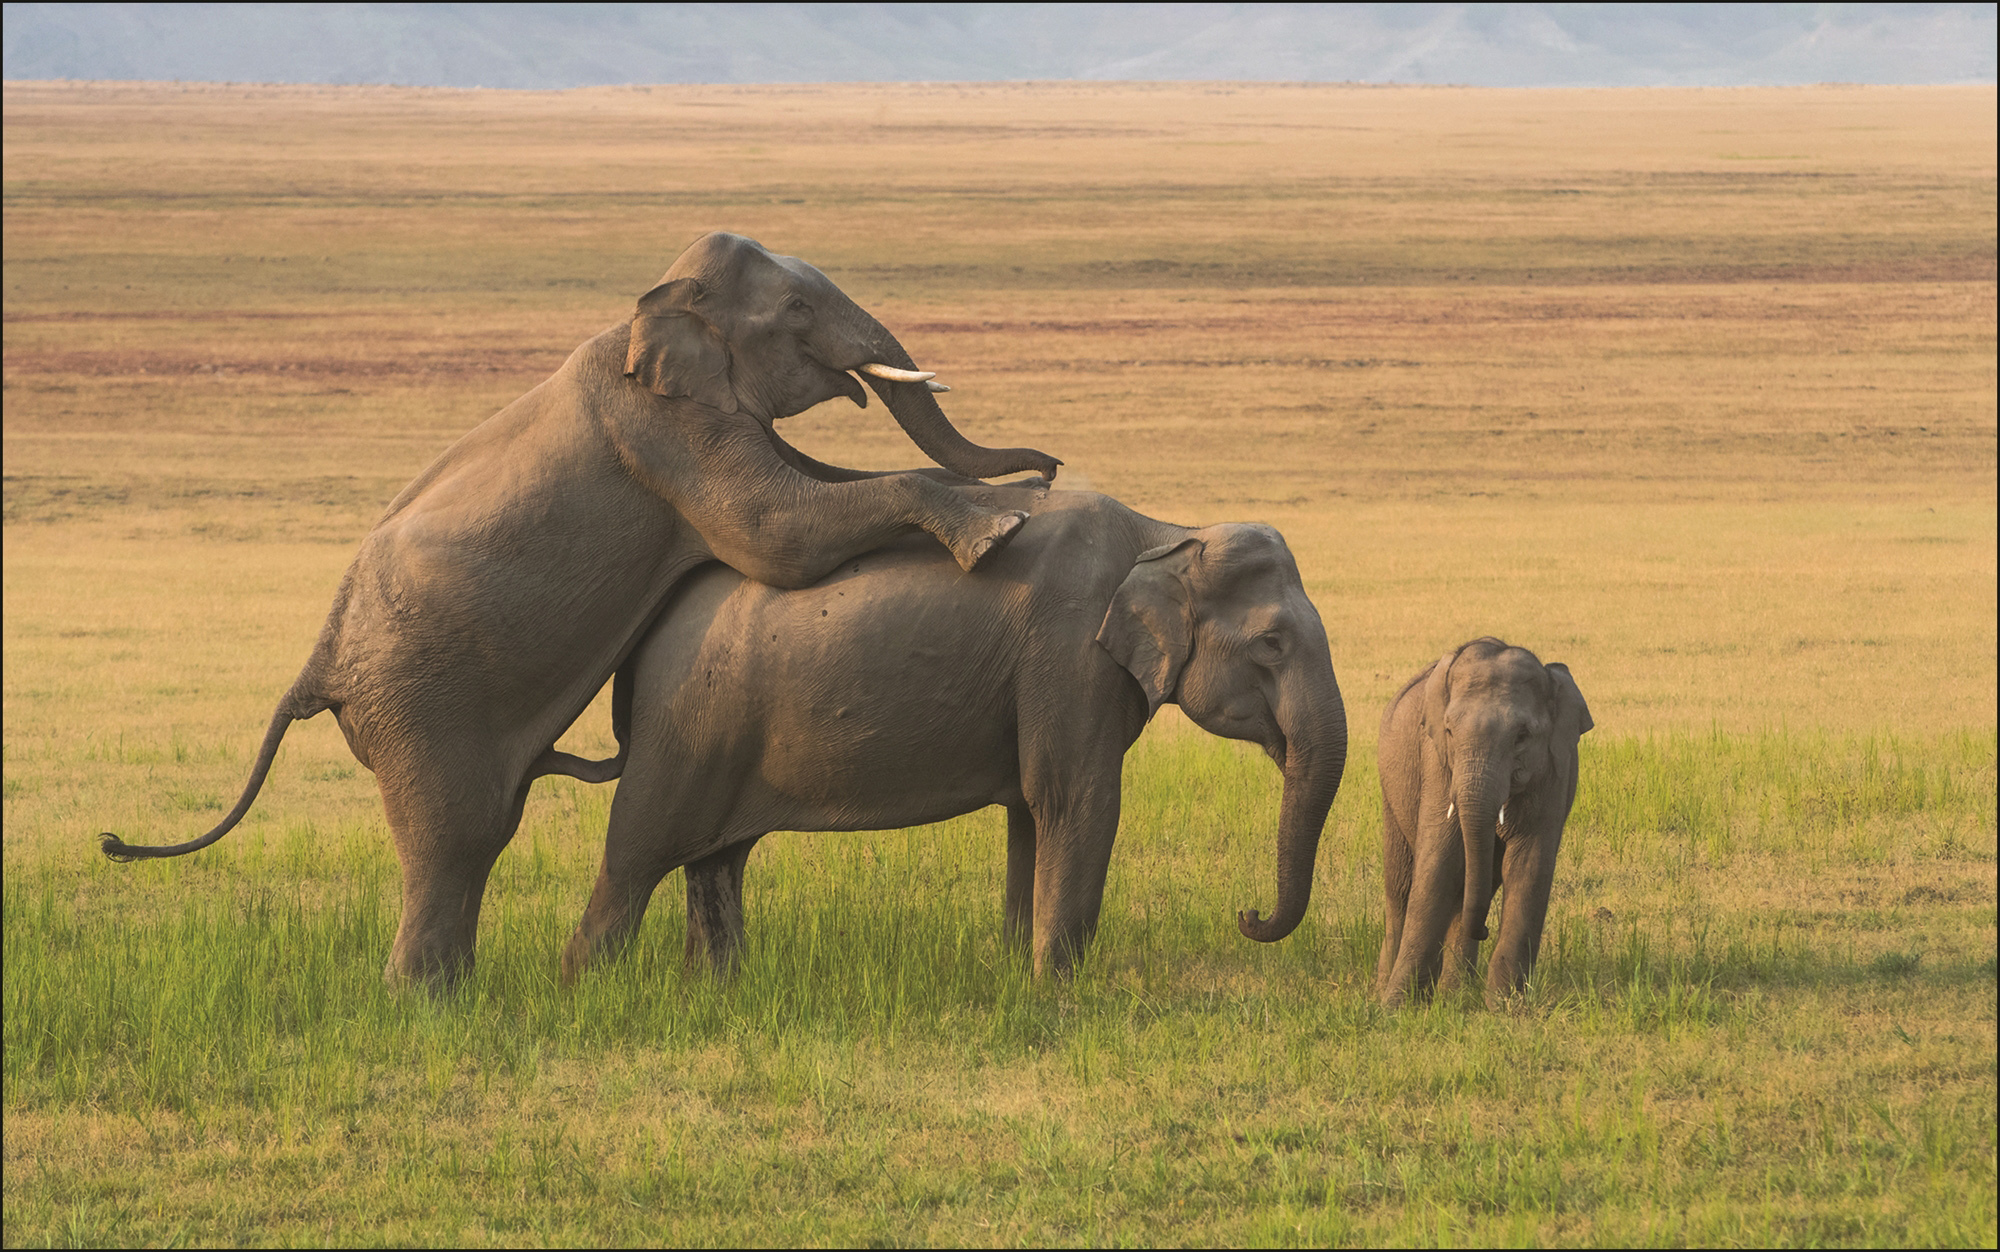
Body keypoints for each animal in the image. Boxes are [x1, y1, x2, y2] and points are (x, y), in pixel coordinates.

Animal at [97, 232, 1064, 984]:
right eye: (794, 308)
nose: (1051, 461)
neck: (650, 304)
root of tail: (317, 663)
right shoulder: (660, 429)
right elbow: (780, 534)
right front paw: (1000, 528)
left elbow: (819, 487)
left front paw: (1020, 492)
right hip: (416, 701)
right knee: (456, 838)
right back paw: (433, 1005)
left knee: (479, 835)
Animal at [556, 482, 1352, 980]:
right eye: (1272, 645)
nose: (1246, 913)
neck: (1166, 534)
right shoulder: (1069, 654)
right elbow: (1078, 801)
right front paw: (1059, 997)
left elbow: (1034, 813)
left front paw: (1020, 977)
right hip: (684, 726)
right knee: (634, 859)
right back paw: (588, 993)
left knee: (717, 863)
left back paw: (716, 993)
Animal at [1376, 632, 1592, 1004]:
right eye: (1449, 731)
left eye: (1522, 737)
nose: (1485, 930)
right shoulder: (1438, 765)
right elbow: (1438, 865)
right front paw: (1394, 1007)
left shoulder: (1554, 770)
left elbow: (1529, 867)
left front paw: (1507, 1006)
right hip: (1391, 790)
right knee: (1401, 886)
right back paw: (1386, 989)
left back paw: (1454, 994)